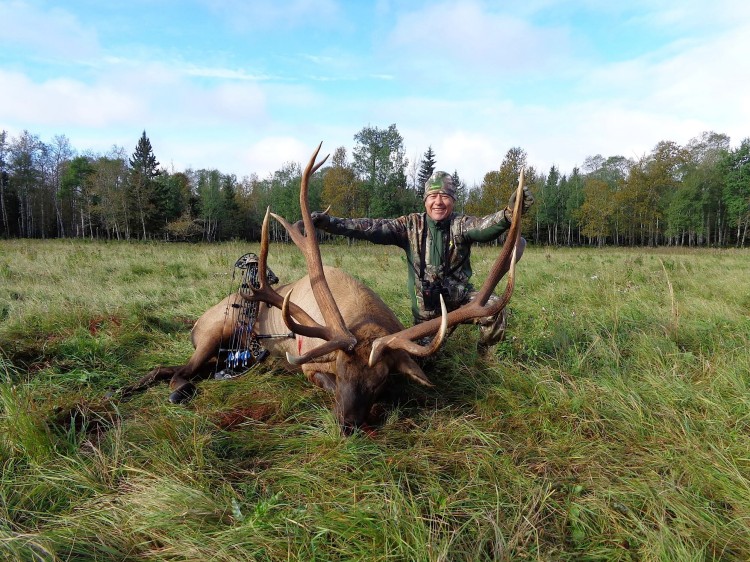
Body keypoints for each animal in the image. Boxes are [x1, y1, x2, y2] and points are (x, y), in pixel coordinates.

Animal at [117, 143, 525, 434]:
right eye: (340, 371)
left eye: (380, 381)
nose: (348, 425)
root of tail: (197, 322)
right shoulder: (309, 363)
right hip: (216, 330)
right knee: (180, 370)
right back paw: (166, 390)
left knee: (173, 368)